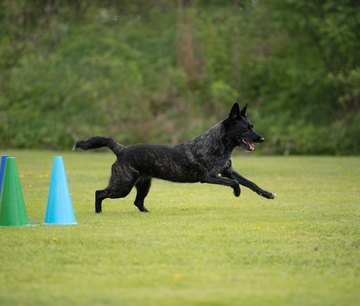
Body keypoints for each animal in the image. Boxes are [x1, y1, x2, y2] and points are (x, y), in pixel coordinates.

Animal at [74, 103, 276, 213]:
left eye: (252, 126)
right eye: (246, 128)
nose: (262, 139)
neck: (219, 144)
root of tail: (121, 149)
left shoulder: (229, 171)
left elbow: (251, 183)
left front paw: (268, 194)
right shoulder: (209, 177)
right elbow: (234, 183)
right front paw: (237, 192)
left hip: (143, 185)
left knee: (137, 202)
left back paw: (146, 212)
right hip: (122, 186)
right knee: (99, 193)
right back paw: (98, 212)